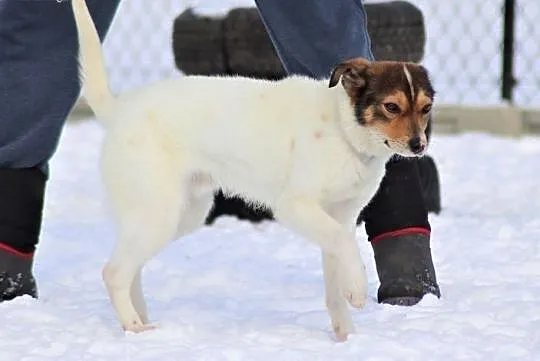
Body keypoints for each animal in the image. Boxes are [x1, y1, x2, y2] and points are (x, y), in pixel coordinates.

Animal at [71, 0, 434, 340]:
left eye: (426, 108)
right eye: (391, 106)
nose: (419, 145)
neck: (343, 129)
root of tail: (121, 109)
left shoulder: (340, 216)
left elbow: (335, 279)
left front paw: (346, 336)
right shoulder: (297, 207)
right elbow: (344, 245)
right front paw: (357, 289)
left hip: (178, 215)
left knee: (130, 267)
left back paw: (139, 319)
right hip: (158, 213)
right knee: (113, 272)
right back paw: (134, 327)